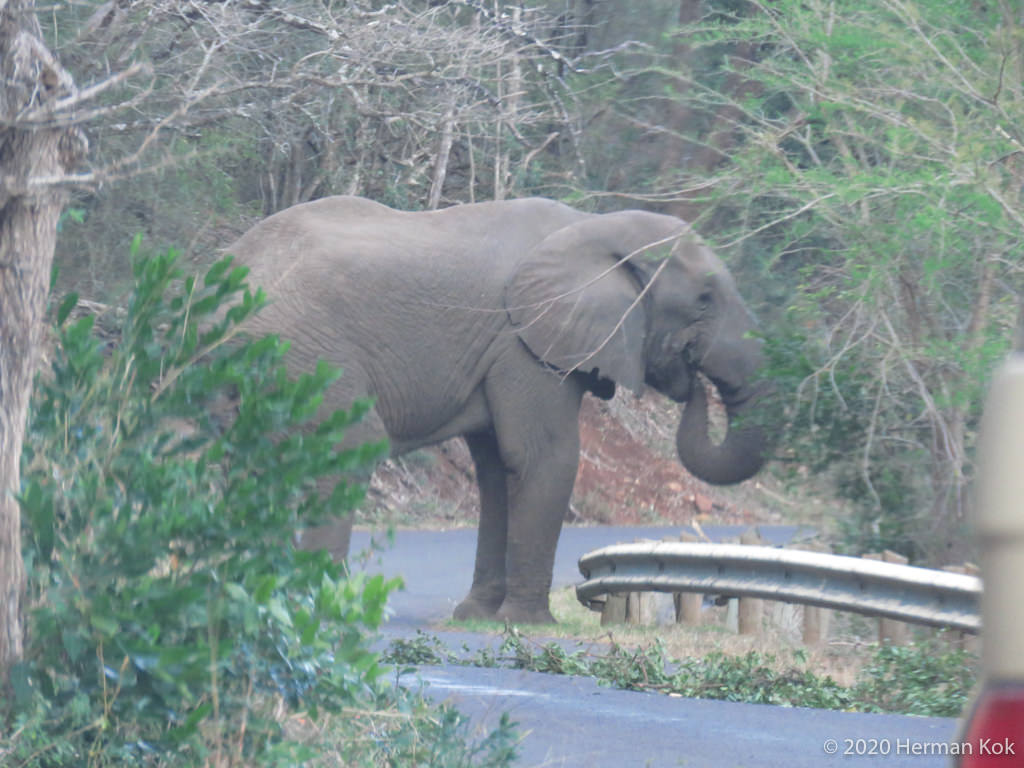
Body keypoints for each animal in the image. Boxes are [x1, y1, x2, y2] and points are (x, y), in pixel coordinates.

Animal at [225, 195, 770, 624]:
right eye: (704, 299)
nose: (693, 379)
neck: (594, 226)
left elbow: (495, 470)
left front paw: (477, 617)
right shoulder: (523, 343)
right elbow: (542, 458)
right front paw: (529, 623)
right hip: (300, 354)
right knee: (343, 449)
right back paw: (315, 609)